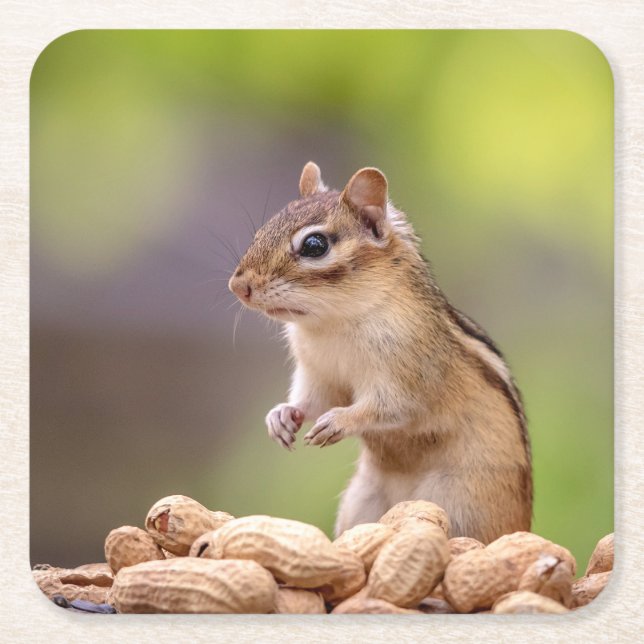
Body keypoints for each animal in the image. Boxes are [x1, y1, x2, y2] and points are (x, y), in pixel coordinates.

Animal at [228, 162, 532, 543]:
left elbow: (391, 407)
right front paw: (282, 416)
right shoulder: (319, 375)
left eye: (314, 245)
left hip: (461, 503)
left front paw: (339, 421)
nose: (238, 286)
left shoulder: (409, 372)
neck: (333, 323)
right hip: (361, 501)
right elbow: (313, 400)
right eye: (262, 231)